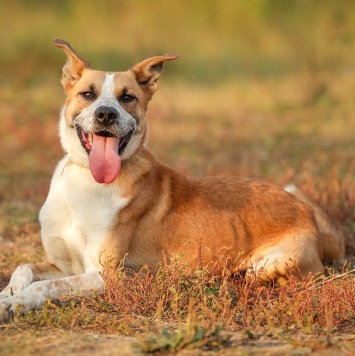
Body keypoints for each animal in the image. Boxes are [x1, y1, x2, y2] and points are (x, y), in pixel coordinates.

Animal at [0, 39, 346, 320]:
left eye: (128, 97)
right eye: (88, 94)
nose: (106, 114)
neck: (87, 181)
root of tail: (310, 219)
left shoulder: (105, 275)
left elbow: (47, 287)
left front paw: (18, 302)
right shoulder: (62, 264)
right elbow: (23, 268)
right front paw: (8, 294)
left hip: (266, 266)